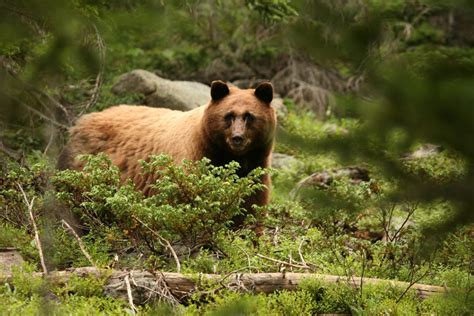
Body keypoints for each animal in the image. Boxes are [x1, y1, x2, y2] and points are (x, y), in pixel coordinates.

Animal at [57, 80, 276, 225]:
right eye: (228, 116)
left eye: (249, 116)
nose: (237, 138)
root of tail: (80, 122)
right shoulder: (190, 165)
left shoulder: (254, 173)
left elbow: (251, 211)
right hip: (85, 171)